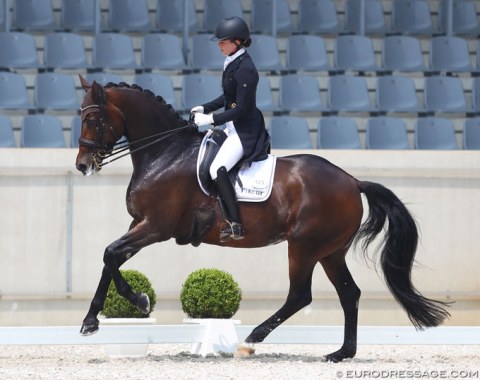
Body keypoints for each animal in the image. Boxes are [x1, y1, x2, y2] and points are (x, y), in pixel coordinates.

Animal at [76, 76, 450, 362]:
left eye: (92, 120)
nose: (82, 165)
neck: (165, 153)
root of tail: (352, 181)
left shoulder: (155, 227)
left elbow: (110, 255)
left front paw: (138, 301)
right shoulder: (140, 225)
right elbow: (110, 259)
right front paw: (91, 321)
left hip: (303, 246)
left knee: (300, 295)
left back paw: (250, 342)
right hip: (330, 251)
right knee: (349, 293)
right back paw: (341, 353)